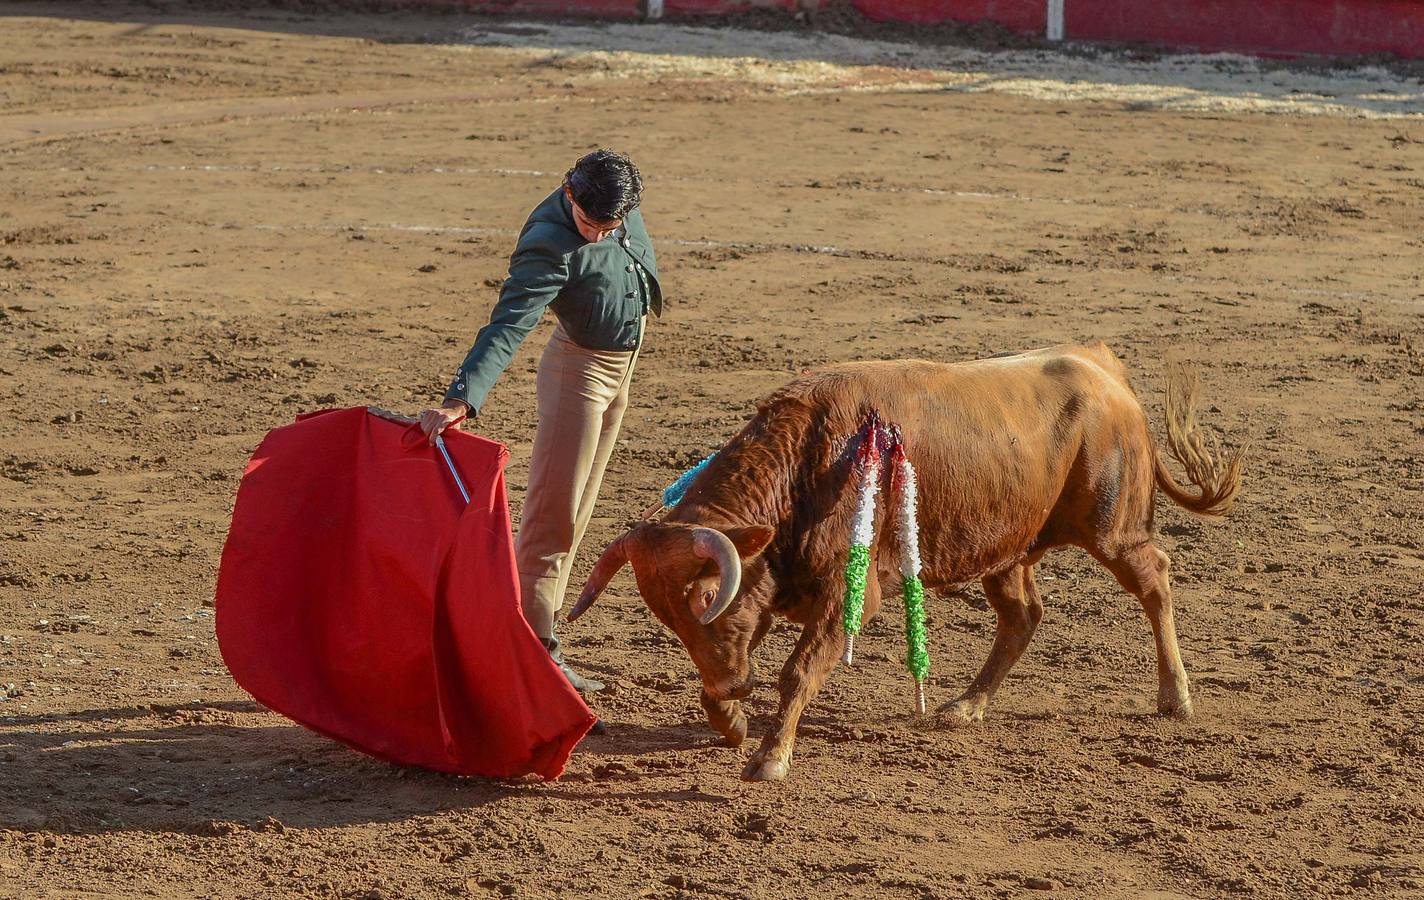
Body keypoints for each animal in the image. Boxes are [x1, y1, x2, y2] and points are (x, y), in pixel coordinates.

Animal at [566, 344, 1236, 780]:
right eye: (667, 617)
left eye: (706, 596)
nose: (731, 686)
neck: (809, 461)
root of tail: (1103, 367)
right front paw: (730, 720)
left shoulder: (850, 592)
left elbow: (797, 670)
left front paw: (770, 756)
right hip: (1006, 550)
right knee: (1022, 616)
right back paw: (965, 707)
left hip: (1113, 531)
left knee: (1155, 581)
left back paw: (1175, 696)